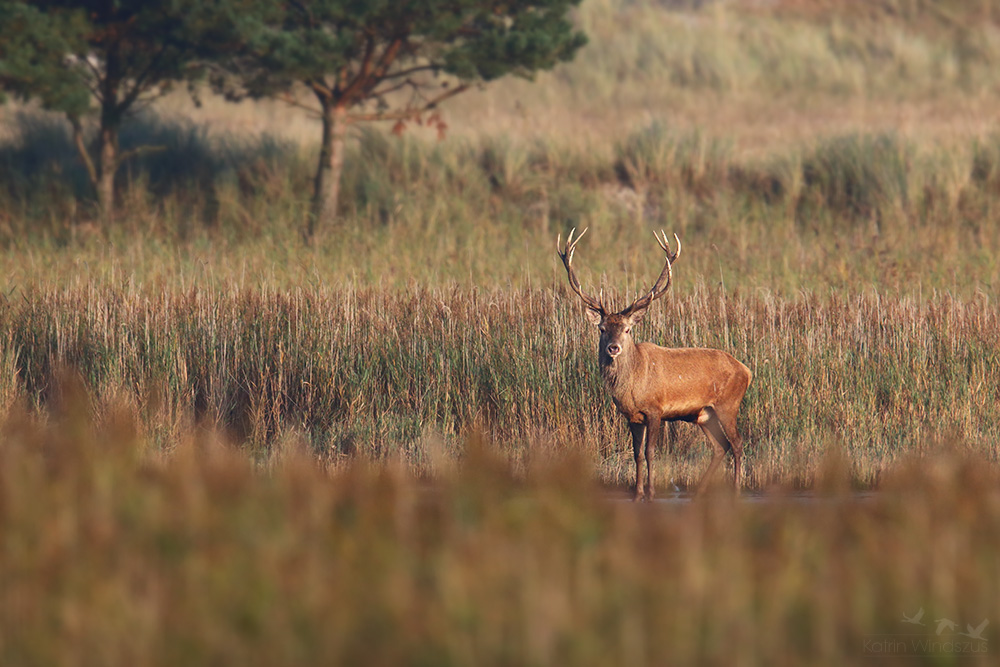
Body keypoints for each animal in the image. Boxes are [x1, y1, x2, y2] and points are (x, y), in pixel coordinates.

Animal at [556, 230, 752, 500]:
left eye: (627, 329)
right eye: (602, 329)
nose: (613, 348)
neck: (632, 386)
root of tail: (747, 371)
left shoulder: (656, 409)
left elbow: (650, 452)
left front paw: (650, 492)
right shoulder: (632, 416)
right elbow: (637, 454)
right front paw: (637, 493)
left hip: (728, 404)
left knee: (737, 443)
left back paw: (736, 491)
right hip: (704, 415)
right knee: (720, 446)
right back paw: (699, 491)